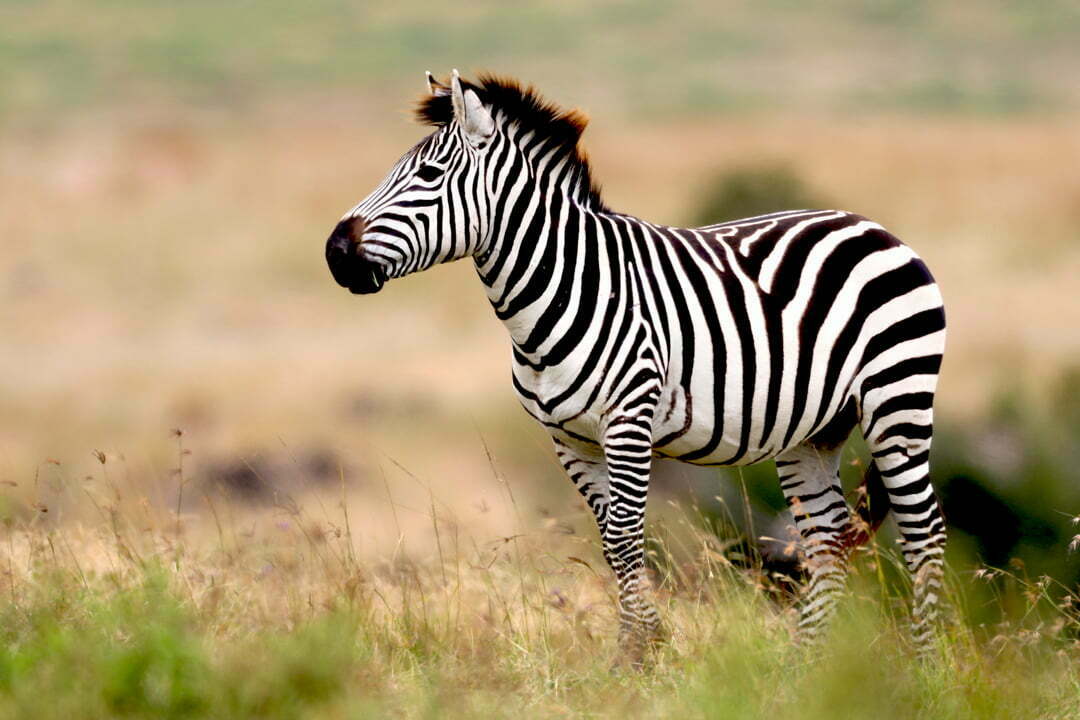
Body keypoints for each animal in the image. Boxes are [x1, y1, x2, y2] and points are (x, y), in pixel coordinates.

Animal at [324, 70, 947, 663]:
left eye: (429, 175)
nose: (335, 253)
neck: (561, 291)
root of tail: (872, 227)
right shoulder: (567, 437)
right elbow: (609, 542)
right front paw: (646, 646)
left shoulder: (629, 420)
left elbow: (626, 538)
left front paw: (634, 657)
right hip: (813, 431)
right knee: (827, 542)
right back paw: (801, 667)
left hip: (898, 401)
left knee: (924, 535)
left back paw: (926, 667)